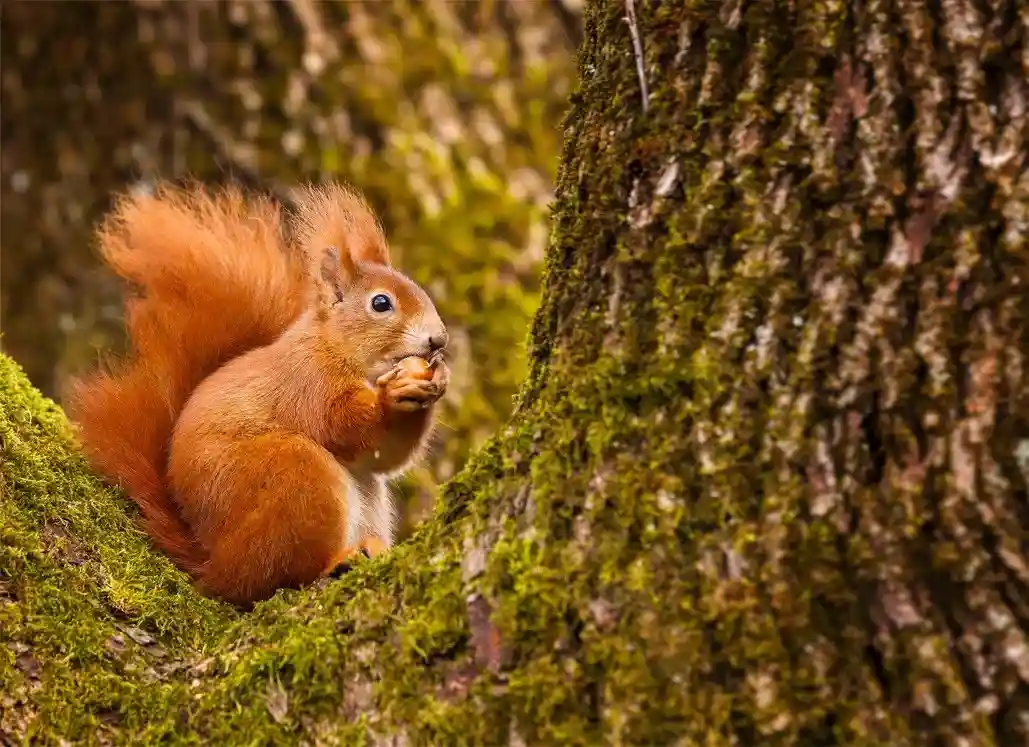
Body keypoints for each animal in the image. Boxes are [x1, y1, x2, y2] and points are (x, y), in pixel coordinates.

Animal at [65, 181, 450, 606]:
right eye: (381, 303)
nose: (438, 339)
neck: (336, 347)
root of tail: (214, 564)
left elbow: (385, 456)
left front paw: (436, 381)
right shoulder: (308, 382)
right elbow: (341, 423)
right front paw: (392, 397)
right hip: (294, 477)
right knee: (276, 578)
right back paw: (335, 562)